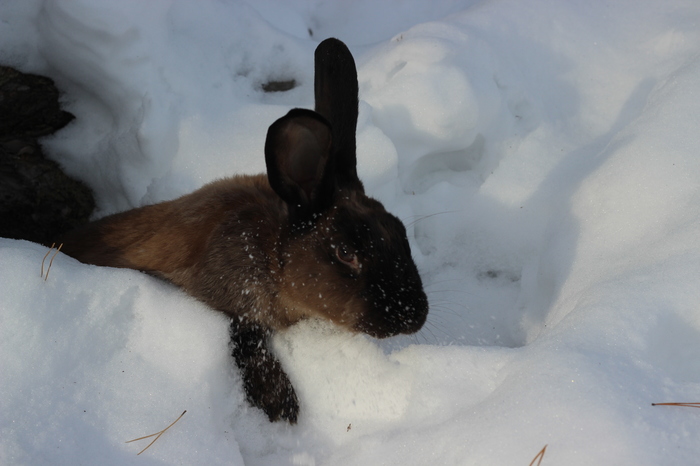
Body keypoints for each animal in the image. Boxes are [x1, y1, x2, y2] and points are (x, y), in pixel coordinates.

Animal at [57, 38, 430, 424]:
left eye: (400, 232)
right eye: (345, 253)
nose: (413, 315)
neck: (272, 257)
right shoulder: (233, 300)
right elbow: (249, 344)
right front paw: (282, 406)